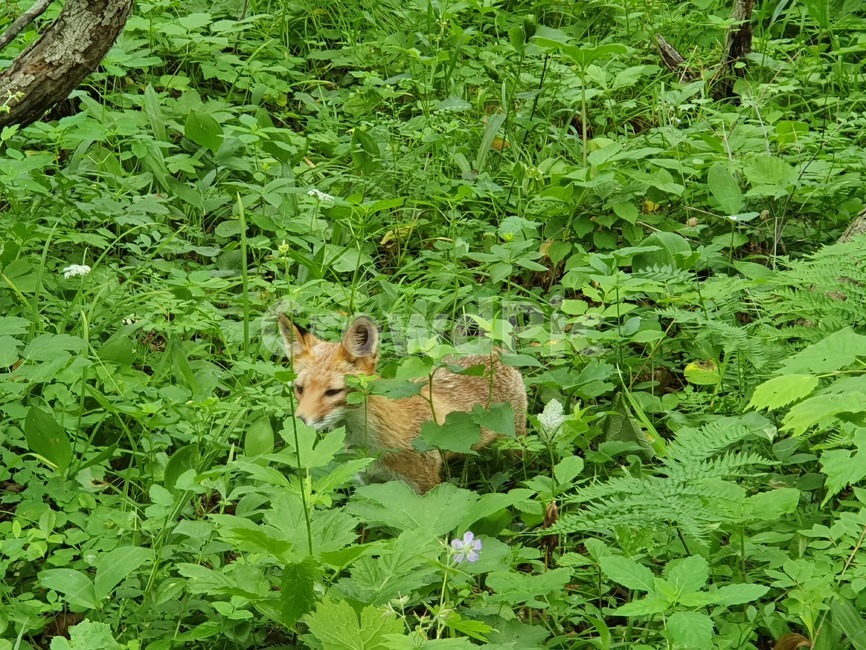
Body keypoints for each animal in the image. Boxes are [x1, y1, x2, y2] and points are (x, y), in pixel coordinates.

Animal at [278, 314, 527, 493]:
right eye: (299, 389)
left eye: (333, 392)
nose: (299, 422)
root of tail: (494, 350)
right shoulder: (369, 482)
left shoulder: (426, 485)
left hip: (514, 445)